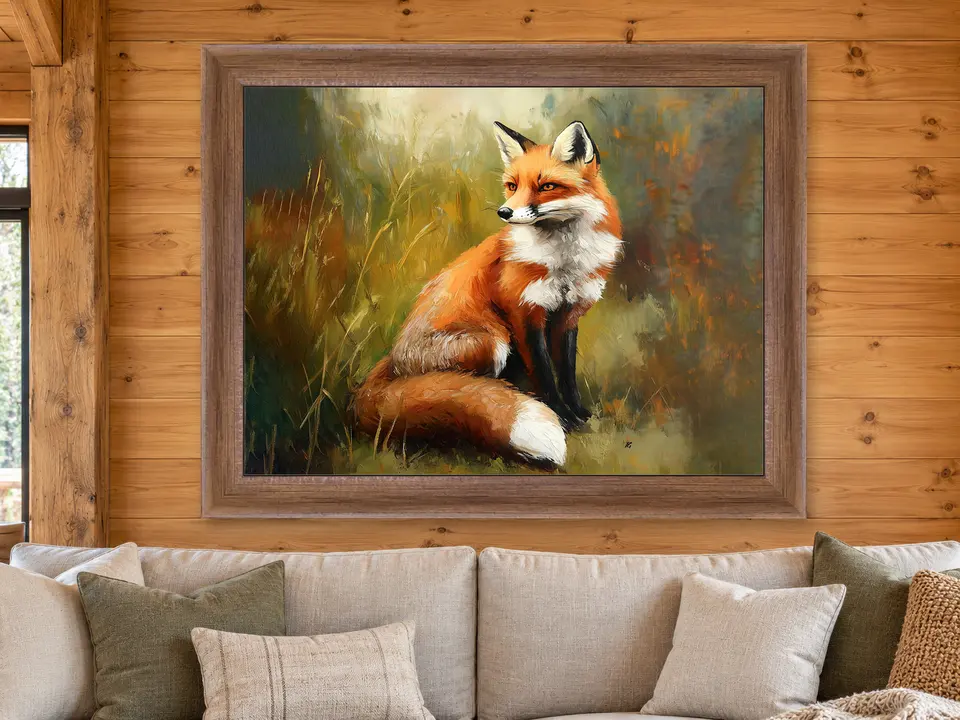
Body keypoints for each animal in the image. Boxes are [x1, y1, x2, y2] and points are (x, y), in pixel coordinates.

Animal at [354, 120, 622, 467]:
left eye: (547, 186)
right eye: (512, 185)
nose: (504, 212)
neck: (563, 262)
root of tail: (393, 361)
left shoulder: (568, 315)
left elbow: (566, 373)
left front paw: (578, 415)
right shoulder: (523, 313)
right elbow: (545, 375)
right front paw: (562, 417)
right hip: (491, 341)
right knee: (467, 386)